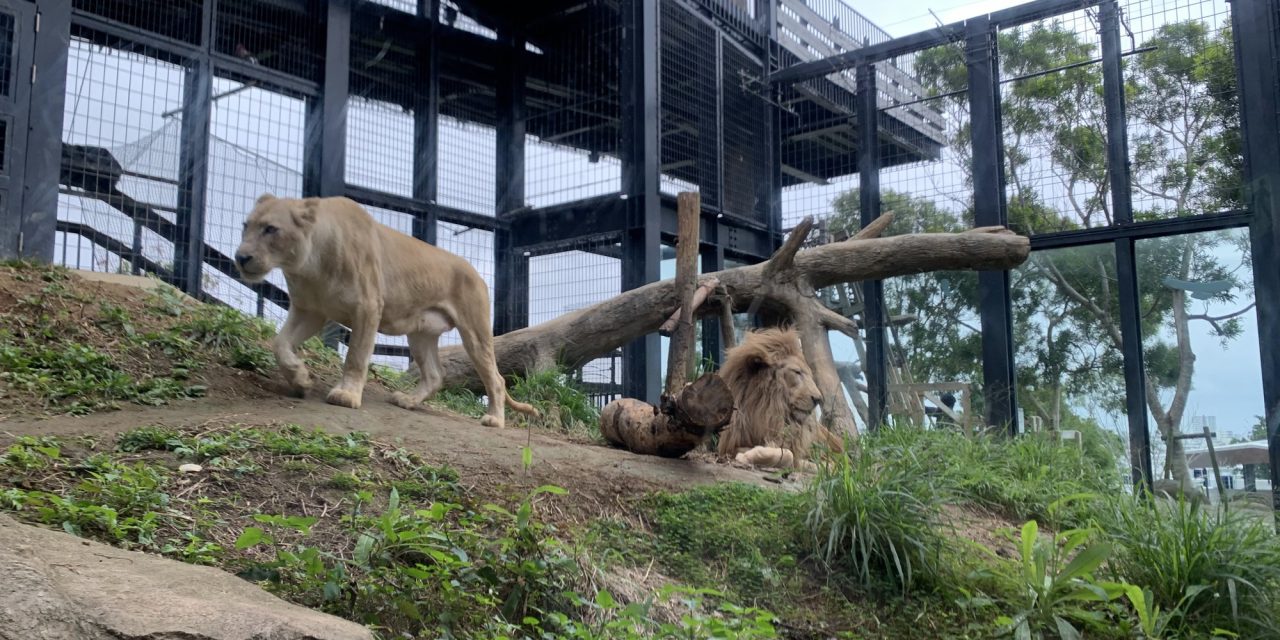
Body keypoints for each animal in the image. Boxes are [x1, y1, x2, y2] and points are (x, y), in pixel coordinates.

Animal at [234, 192, 535, 427]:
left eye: (270, 229)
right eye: (245, 226)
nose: (240, 257)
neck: (309, 265)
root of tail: (477, 274)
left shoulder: (367, 307)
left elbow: (356, 356)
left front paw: (346, 395)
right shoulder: (310, 310)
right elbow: (280, 344)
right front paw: (300, 379)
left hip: (474, 331)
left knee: (495, 378)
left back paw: (494, 419)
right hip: (420, 334)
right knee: (435, 375)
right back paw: (408, 400)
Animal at [716, 327, 844, 468]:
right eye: (797, 372)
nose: (818, 399)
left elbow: (791, 455)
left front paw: (749, 455)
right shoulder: (728, 445)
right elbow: (788, 454)